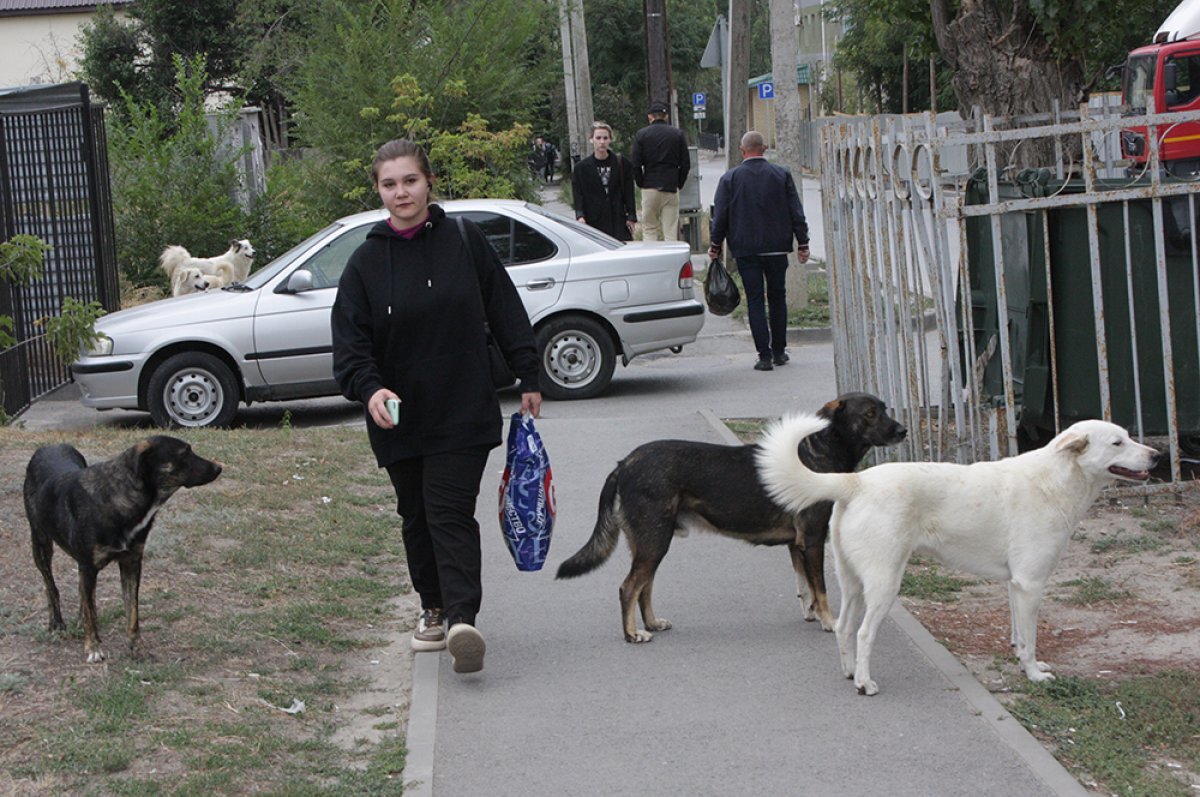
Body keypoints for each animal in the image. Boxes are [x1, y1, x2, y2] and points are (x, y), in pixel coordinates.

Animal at [24, 436, 222, 657]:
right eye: (184, 453)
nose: (219, 467)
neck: (118, 500)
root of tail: (49, 446)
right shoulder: (88, 566)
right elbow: (90, 609)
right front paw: (93, 647)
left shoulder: (131, 563)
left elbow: (132, 610)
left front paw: (137, 647)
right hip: (41, 543)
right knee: (51, 586)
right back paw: (56, 623)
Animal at [556, 396, 902, 643]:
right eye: (870, 413)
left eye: (883, 408)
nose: (903, 430)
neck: (819, 452)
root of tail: (624, 463)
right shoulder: (814, 539)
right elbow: (821, 589)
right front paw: (829, 622)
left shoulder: (796, 544)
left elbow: (806, 588)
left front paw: (813, 614)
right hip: (654, 541)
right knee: (629, 587)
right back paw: (632, 634)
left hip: (648, 543)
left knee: (644, 587)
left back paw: (652, 623)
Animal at [753, 412, 1156, 696]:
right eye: (1118, 442)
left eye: (1128, 436)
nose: (1157, 455)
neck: (1055, 479)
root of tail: (858, 481)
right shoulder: (1031, 585)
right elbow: (1030, 641)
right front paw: (1033, 675)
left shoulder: (1016, 586)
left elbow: (1019, 635)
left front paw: (1021, 660)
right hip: (884, 584)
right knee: (865, 633)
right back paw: (865, 684)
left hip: (852, 584)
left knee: (844, 628)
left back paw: (851, 672)